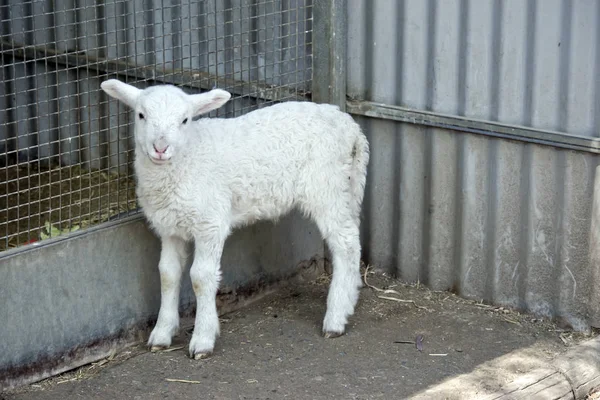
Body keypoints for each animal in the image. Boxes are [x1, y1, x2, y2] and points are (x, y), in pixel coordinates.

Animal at [101, 79, 368, 360]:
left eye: (185, 120)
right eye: (141, 115)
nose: (160, 149)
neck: (188, 157)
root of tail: (350, 127)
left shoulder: (210, 222)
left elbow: (201, 277)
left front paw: (203, 338)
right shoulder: (170, 227)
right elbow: (168, 274)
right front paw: (162, 333)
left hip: (326, 186)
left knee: (346, 244)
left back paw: (335, 318)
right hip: (347, 186)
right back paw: (350, 297)